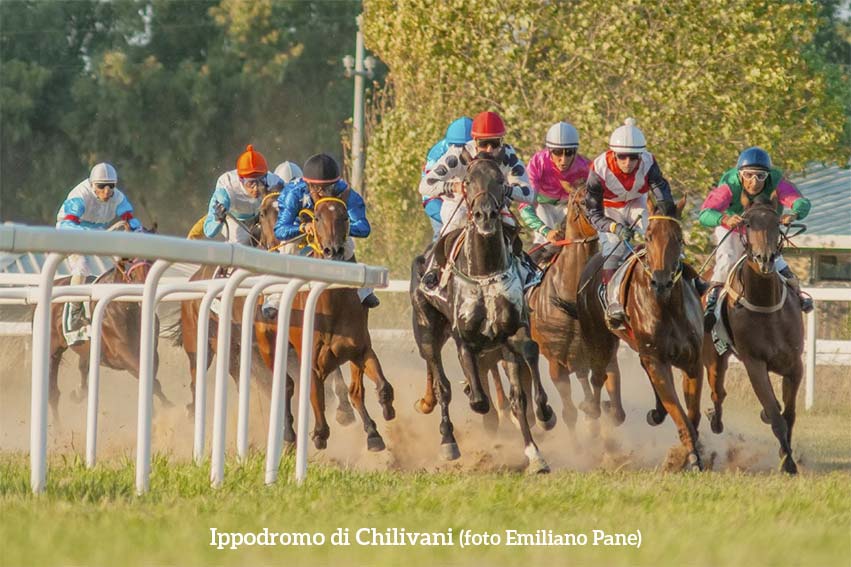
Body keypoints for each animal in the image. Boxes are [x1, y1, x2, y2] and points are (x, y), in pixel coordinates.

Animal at [255, 189, 398, 454]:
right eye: (317, 218)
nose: (334, 250)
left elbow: (375, 387)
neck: (335, 304)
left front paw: (377, 427)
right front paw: (320, 434)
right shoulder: (313, 362)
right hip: (268, 347)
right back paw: (288, 435)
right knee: (286, 386)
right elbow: (316, 398)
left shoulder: (360, 349)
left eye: (345, 217)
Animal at [412, 155, 556, 474]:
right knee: (441, 385)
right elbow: (478, 400)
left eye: (500, 181)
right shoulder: (463, 339)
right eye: (467, 181)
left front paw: (543, 420)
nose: (485, 215)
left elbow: (527, 367)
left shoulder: (514, 330)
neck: (485, 273)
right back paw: (448, 441)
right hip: (427, 334)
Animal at [524, 186, 624, 430]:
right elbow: (569, 413)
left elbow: (615, 413)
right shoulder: (556, 364)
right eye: (581, 201)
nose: (606, 222)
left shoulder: (606, 355)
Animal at [580, 197, 704, 472]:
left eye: (679, 237)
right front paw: (690, 457)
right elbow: (679, 413)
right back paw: (596, 415)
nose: (661, 282)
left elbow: (692, 413)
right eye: (648, 236)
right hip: (599, 340)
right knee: (598, 377)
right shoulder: (656, 359)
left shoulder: (692, 362)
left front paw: (688, 454)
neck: (667, 306)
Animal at [700, 200, 804, 474]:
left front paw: (786, 454)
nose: (765, 259)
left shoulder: (794, 364)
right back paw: (714, 419)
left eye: (776, 222)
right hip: (713, 358)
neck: (766, 305)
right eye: (747, 223)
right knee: (718, 393)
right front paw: (788, 462)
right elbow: (775, 414)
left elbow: (789, 414)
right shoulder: (754, 363)